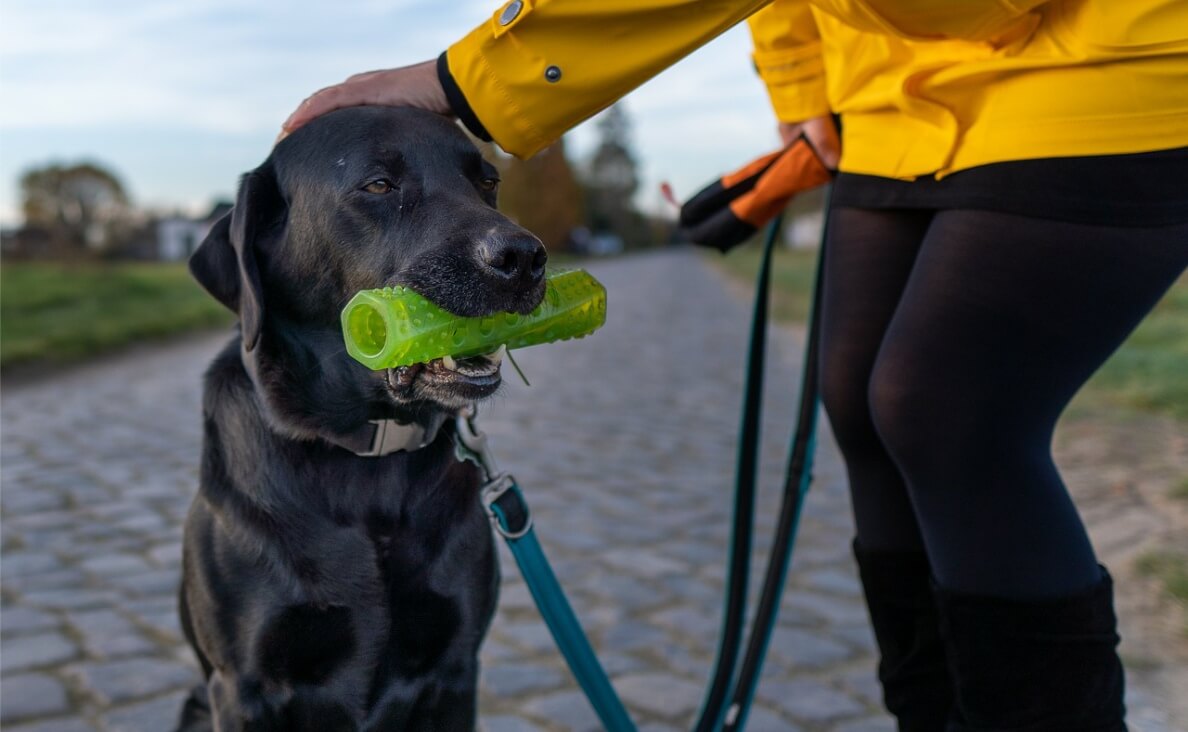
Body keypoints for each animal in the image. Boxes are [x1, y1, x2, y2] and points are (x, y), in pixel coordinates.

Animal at [175, 104, 546, 732]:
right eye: (378, 185)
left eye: (487, 181)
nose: (524, 259)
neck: (367, 452)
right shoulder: (241, 688)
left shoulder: (455, 668)